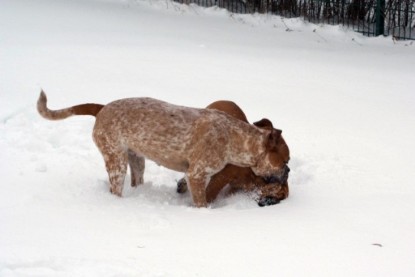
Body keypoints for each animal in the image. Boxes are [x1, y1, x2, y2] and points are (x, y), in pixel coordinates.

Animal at [37, 91, 288, 207]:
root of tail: (102, 107)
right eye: (286, 160)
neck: (235, 138)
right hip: (116, 160)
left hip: (136, 159)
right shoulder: (197, 175)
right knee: (115, 188)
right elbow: (202, 203)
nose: (288, 171)